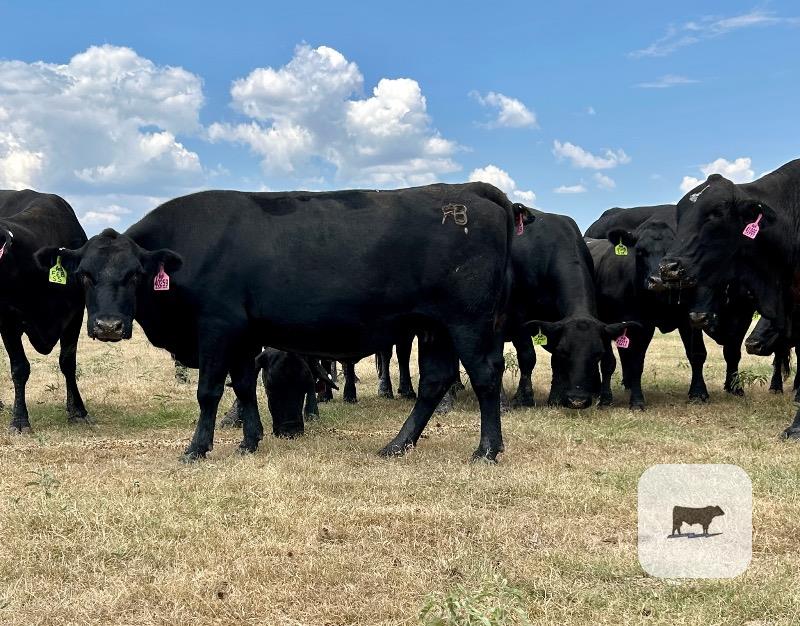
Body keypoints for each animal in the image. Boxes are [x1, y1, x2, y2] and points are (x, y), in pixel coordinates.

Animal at [0, 190, 90, 433]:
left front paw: (77, 410)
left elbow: (68, 362)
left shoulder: (76, 315)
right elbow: (19, 367)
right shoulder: (7, 319)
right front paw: (20, 420)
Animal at [36, 184, 528, 461]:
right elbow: (243, 387)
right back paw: (397, 445)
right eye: (85, 275)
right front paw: (249, 441)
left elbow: (209, 391)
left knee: (485, 376)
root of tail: (475, 196)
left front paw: (197, 448)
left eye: (135, 275)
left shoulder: (217, 328)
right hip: (434, 326)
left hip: (468, 322)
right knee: (434, 381)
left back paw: (487, 449)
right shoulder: (242, 335)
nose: (107, 326)